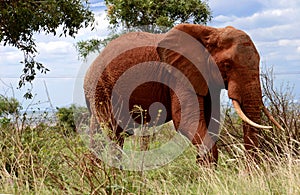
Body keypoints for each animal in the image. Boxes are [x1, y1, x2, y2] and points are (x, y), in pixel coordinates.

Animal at [83, 23, 282, 165]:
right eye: (227, 65)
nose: (248, 173)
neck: (210, 32)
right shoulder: (178, 75)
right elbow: (187, 120)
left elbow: (210, 120)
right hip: (101, 88)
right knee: (111, 133)